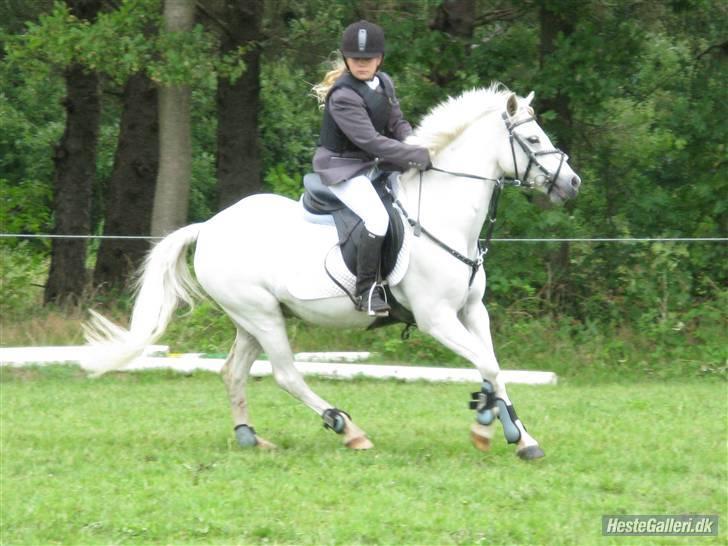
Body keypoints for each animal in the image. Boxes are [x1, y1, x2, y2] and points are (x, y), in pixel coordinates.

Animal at [81, 84, 581, 460]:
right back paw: (346, 428)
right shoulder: (436, 318)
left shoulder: (472, 311)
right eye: (534, 141)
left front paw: (510, 431)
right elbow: (487, 364)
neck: (442, 214)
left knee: (232, 372)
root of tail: (209, 226)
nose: (572, 184)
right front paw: (494, 428)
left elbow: (492, 366)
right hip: (262, 315)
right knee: (286, 374)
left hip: (252, 319)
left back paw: (250, 437)